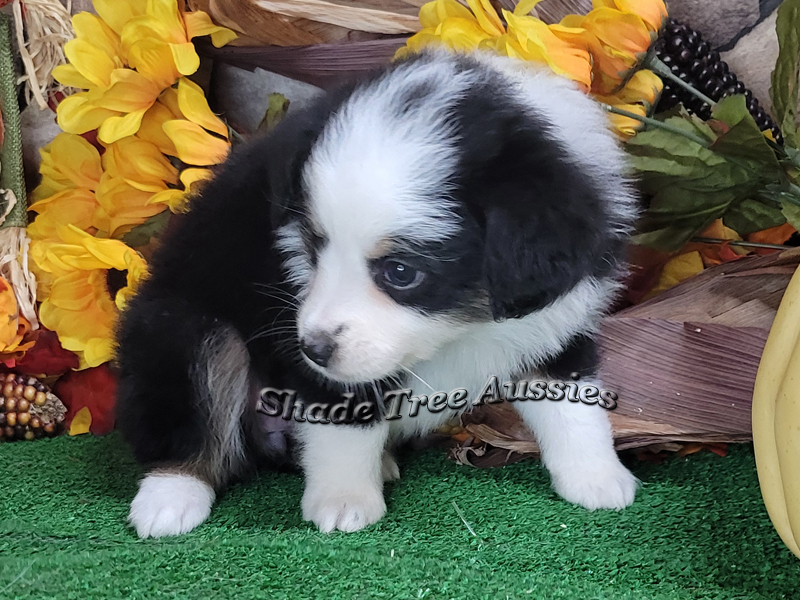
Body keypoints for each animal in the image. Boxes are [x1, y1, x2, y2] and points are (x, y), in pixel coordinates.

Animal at [117, 49, 636, 536]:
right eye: (313, 244)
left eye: (400, 272)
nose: (313, 349)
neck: (465, 329)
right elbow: (345, 419)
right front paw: (343, 501)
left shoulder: (554, 320)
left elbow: (572, 402)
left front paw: (597, 479)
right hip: (181, 326)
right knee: (188, 412)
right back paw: (169, 499)